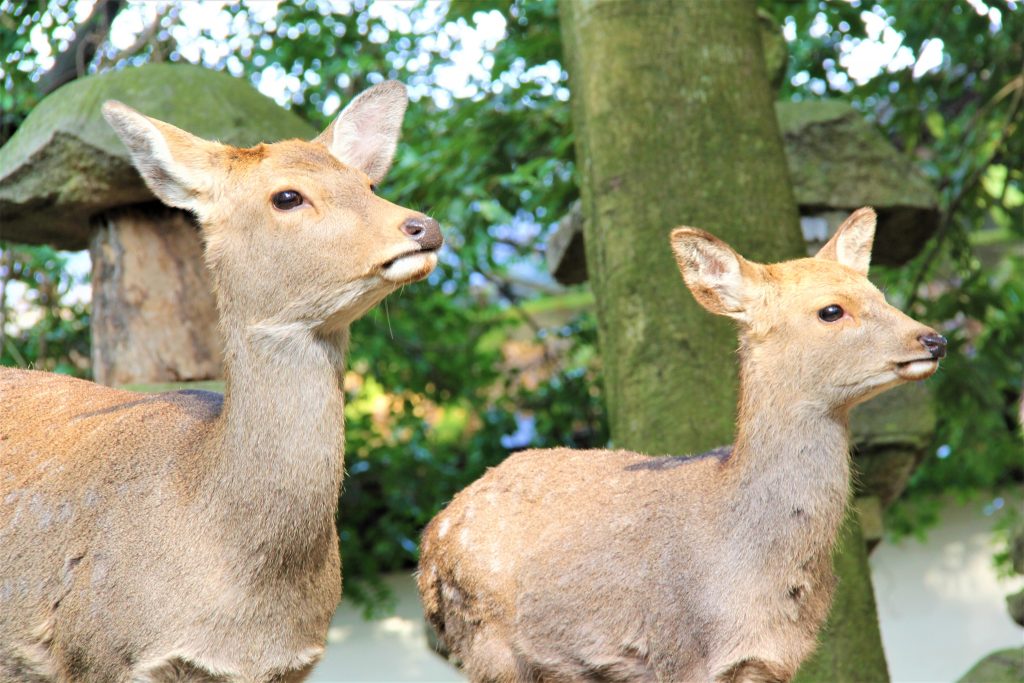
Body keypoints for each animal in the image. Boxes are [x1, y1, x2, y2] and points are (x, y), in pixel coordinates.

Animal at [415, 208, 942, 683]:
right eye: (831, 310)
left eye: (881, 294)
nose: (933, 339)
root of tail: (429, 547)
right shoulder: (676, 650)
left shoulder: (771, 663)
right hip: (486, 642)